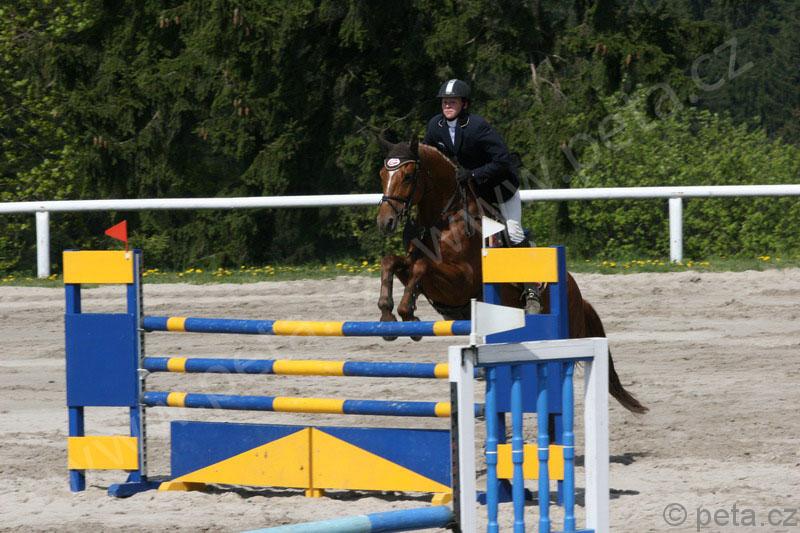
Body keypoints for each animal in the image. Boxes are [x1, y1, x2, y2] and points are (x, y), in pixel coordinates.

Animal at [376, 137, 647, 414]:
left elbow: (423, 267)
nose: (385, 222)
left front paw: (406, 312)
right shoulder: (425, 276)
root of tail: (578, 295)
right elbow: (393, 262)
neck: (443, 221)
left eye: (408, 176)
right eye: (383, 174)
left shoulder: (462, 281)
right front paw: (389, 315)